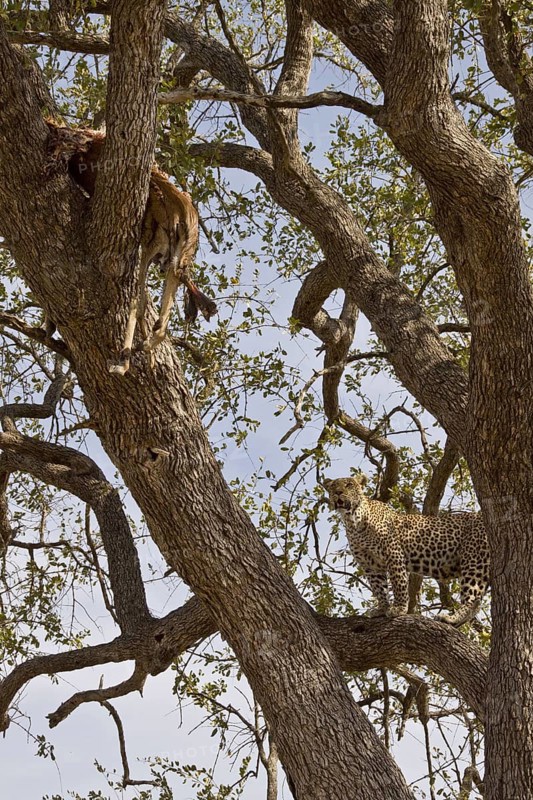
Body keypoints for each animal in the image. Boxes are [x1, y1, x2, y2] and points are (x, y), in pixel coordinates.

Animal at [323, 475, 489, 626]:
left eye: (349, 485)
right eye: (333, 487)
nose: (338, 492)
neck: (353, 522)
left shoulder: (393, 553)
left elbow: (398, 583)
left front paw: (399, 608)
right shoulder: (369, 564)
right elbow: (379, 588)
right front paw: (382, 609)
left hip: (475, 561)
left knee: (473, 600)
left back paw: (451, 618)